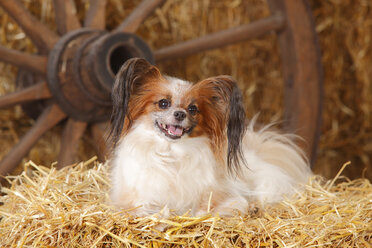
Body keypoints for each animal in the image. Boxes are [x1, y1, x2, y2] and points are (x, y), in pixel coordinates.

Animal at [108, 57, 310, 215]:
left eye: (192, 109)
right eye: (163, 103)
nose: (180, 114)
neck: (172, 153)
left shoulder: (226, 195)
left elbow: (221, 207)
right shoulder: (135, 200)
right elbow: (151, 211)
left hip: (264, 181)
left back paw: (256, 206)